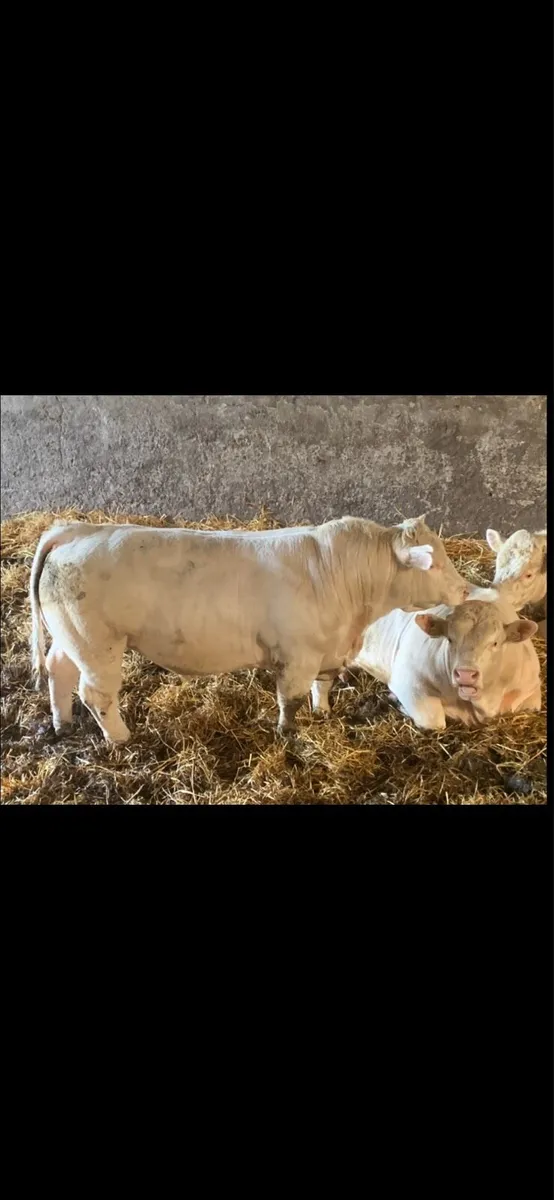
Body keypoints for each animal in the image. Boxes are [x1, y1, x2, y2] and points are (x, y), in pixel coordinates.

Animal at [30, 514, 482, 743]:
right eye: (432, 563)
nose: (464, 589)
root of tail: (77, 529)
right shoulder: (297, 655)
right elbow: (291, 699)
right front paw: (288, 734)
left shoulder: (327, 650)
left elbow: (322, 685)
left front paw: (323, 714)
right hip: (98, 644)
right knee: (97, 693)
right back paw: (122, 738)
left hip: (70, 638)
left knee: (58, 670)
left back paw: (62, 724)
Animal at [313, 598, 540, 730]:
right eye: (450, 639)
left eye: (495, 643)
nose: (466, 674)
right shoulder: (409, 682)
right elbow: (434, 721)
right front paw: (398, 703)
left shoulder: (532, 691)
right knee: (319, 683)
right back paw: (321, 709)